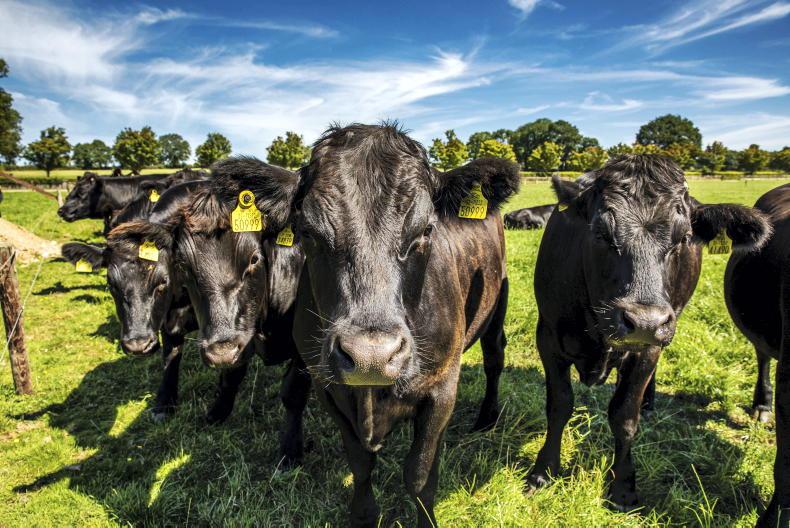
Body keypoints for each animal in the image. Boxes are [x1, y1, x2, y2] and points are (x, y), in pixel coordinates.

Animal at [210, 124, 520, 527]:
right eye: (308, 232)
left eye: (425, 231)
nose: (372, 356)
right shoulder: (329, 388)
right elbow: (360, 464)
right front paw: (363, 514)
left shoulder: (443, 386)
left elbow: (420, 476)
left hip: (498, 304)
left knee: (494, 358)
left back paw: (486, 418)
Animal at [527, 155, 772, 511]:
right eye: (600, 233)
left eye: (683, 237)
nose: (644, 321)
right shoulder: (548, 338)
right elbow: (559, 405)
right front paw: (543, 471)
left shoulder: (647, 350)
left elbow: (624, 417)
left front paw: (623, 488)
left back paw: (649, 401)